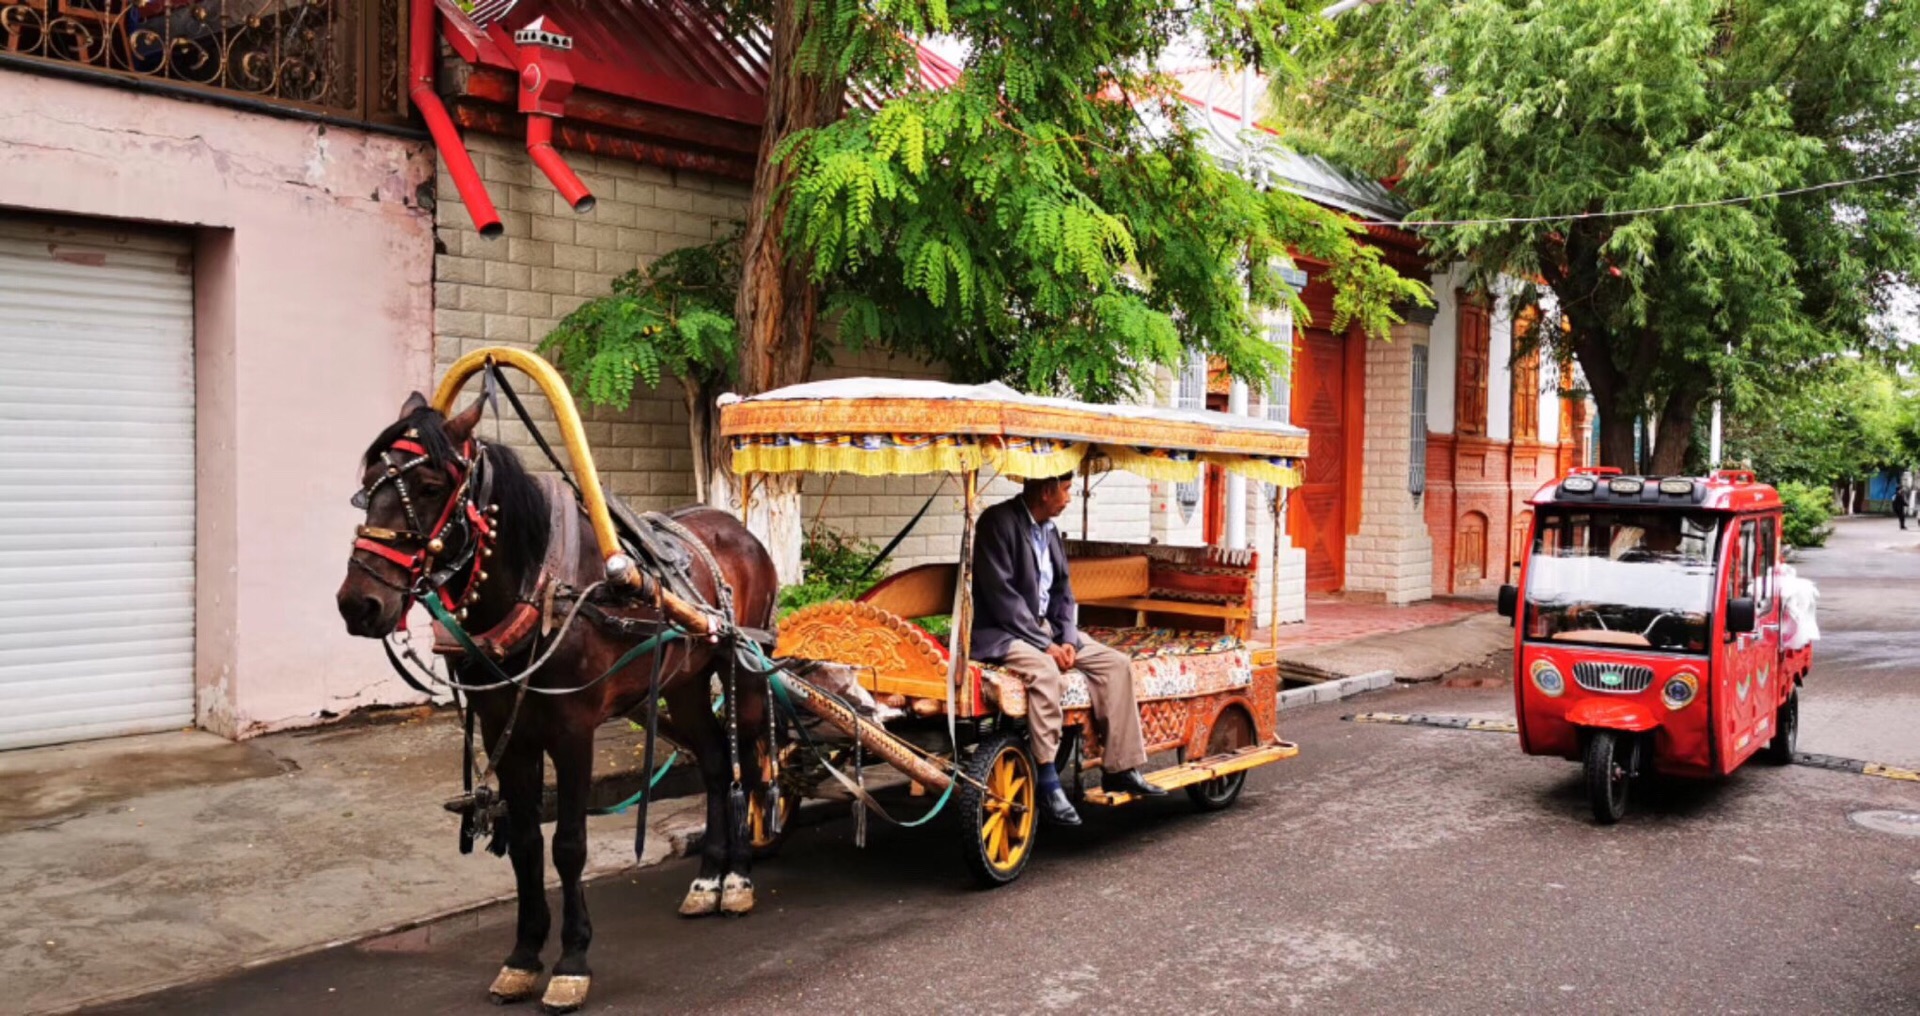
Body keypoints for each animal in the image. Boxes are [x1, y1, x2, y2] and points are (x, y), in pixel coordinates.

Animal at [337, 391, 779, 1006]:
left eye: (427, 486)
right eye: (367, 483)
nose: (358, 604)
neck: (540, 588)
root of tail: (737, 528)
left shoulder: (573, 733)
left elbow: (568, 845)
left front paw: (572, 962)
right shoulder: (507, 731)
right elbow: (525, 844)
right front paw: (523, 957)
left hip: (746, 669)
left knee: (751, 767)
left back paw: (737, 878)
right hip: (684, 683)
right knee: (716, 763)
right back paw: (707, 879)